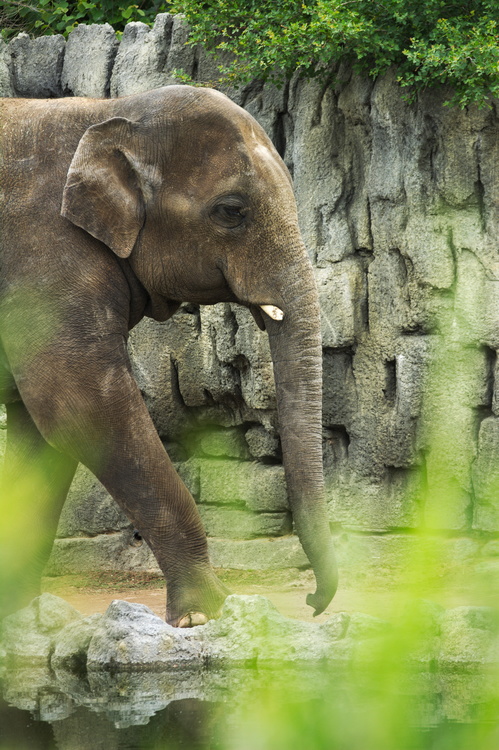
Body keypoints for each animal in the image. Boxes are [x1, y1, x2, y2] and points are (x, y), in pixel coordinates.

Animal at [0, 85, 338, 626]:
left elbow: (42, 434)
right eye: (231, 210)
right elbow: (81, 409)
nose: (311, 603)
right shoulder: (44, 259)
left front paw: (24, 618)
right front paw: (204, 615)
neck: (108, 114)